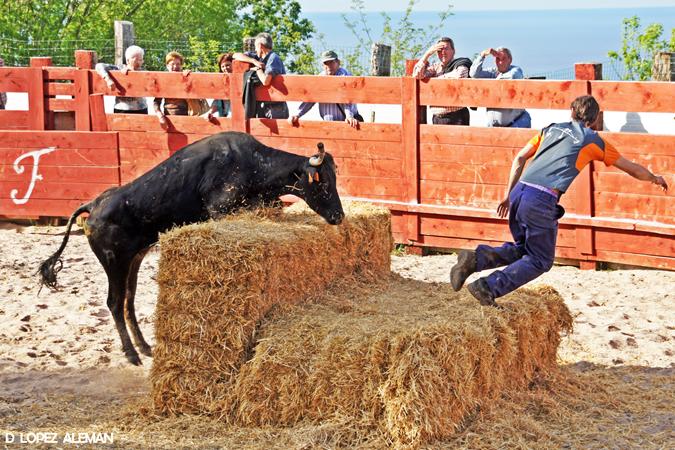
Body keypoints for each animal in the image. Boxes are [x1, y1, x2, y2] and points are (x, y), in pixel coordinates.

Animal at [38, 131, 344, 366]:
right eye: (323, 182)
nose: (339, 216)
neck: (252, 164)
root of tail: (94, 204)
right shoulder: (220, 209)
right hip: (114, 262)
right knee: (114, 302)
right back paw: (131, 354)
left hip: (133, 260)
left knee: (128, 301)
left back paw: (145, 347)